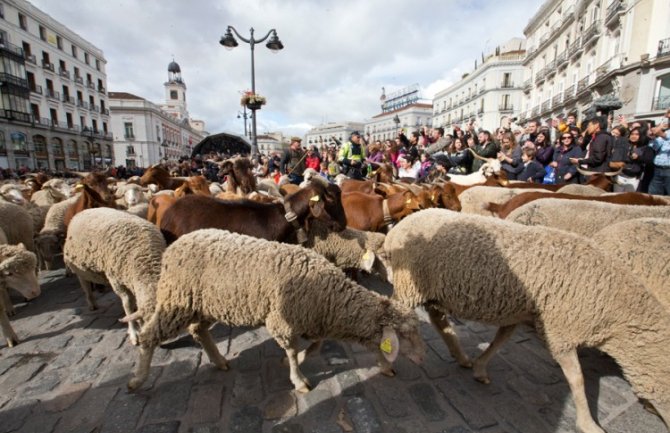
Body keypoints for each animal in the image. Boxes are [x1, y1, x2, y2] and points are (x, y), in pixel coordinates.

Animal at [64, 208, 167, 346]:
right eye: (145, 320)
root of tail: (85, 210)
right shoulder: (116, 280)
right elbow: (127, 305)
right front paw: (134, 332)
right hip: (79, 268)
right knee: (85, 286)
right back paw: (92, 304)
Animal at [127, 230, 426, 392]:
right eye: (406, 335)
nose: (421, 359)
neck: (331, 296)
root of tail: (175, 245)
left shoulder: (311, 320)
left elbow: (316, 346)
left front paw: (299, 360)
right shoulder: (281, 321)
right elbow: (293, 351)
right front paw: (299, 380)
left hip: (205, 304)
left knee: (198, 331)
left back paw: (219, 361)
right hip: (176, 301)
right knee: (149, 336)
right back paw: (137, 379)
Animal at [384, 208, 670, 430]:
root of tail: (399, 227)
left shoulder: (521, 312)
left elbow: (501, 340)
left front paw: (480, 368)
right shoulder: (560, 330)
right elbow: (577, 379)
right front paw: (588, 424)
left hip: (431, 291)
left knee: (438, 319)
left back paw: (462, 357)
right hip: (409, 285)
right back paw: (386, 365)